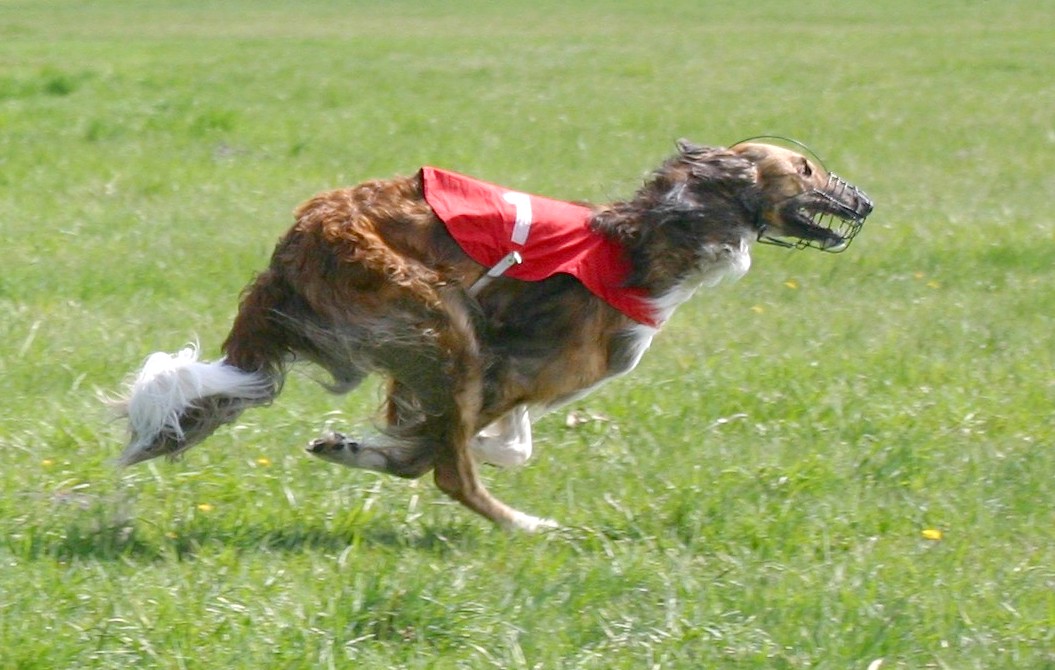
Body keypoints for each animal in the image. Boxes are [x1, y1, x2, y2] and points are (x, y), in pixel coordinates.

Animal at [113, 140, 873, 531]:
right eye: (805, 169)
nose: (864, 201)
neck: (654, 236)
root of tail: (293, 244)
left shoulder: (502, 379)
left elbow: (490, 442)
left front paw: (371, 445)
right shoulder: (516, 370)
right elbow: (461, 449)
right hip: (445, 327)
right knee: (451, 476)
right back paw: (528, 527)